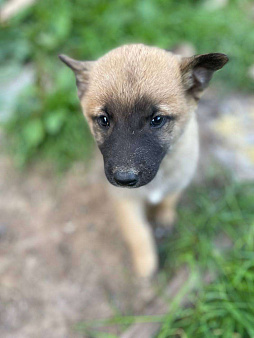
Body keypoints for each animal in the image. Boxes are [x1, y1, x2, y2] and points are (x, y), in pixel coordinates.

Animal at [59, 43, 228, 278]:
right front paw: (146, 263)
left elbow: (169, 200)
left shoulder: (179, 181)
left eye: (157, 120)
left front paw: (165, 217)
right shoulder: (124, 200)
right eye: (104, 120)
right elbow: (138, 232)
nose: (124, 179)